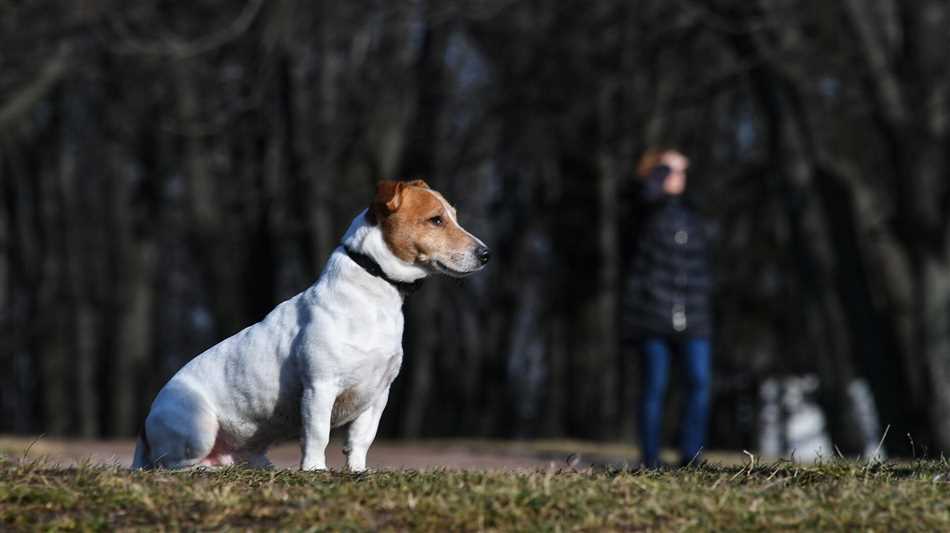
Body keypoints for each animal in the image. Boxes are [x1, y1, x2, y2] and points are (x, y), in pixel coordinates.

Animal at [132, 179, 490, 470]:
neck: (374, 290)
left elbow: (361, 439)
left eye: (453, 216)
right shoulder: (320, 387)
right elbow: (318, 434)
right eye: (435, 220)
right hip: (199, 427)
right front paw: (315, 470)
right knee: (173, 466)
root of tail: (146, 425)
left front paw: (358, 472)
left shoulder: (378, 395)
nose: (486, 254)